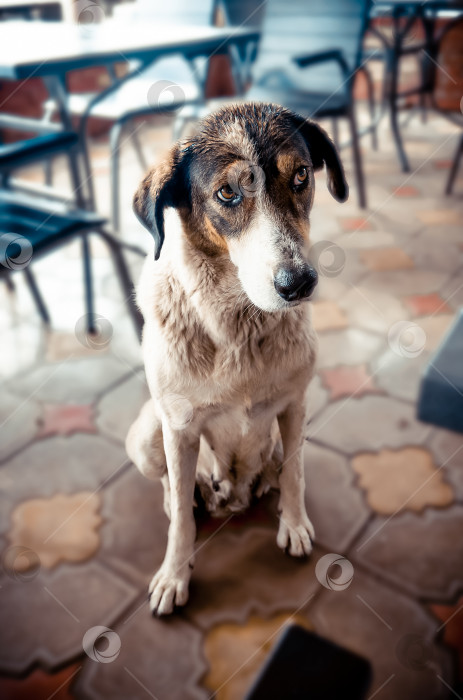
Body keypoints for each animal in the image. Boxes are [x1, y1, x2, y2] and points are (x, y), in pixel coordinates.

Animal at [125, 101, 350, 616]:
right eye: (227, 193)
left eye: (301, 175)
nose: (298, 283)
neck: (238, 326)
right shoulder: (178, 427)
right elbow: (180, 522)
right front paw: (174, 575)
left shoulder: (295, 407)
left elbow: (297, 475)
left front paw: (294, 524)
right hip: (146, 435)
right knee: (173, 486)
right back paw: (186, 497)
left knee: (279, 468)